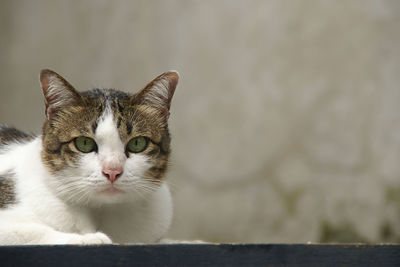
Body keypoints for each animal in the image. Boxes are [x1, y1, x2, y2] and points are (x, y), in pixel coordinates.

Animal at [0, 69, 178, 245]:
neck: (102, 213)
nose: (112, 171)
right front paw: (89, 238)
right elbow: (30, 232)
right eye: (84, 143)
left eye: (137, 143)